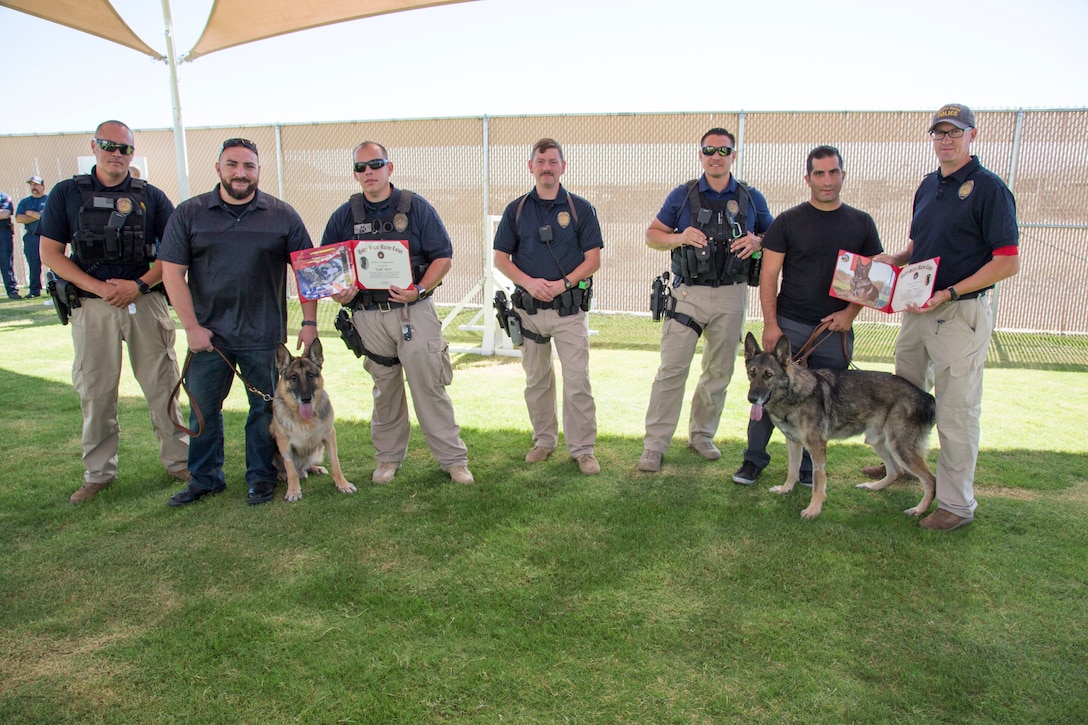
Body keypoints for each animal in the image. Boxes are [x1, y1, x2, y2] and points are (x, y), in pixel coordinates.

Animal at [272, 337, 356, 496]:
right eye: (294, 378)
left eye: (311, 375)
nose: (306, 399)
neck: (305, 420)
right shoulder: (284, 443)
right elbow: (290, 469)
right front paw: (293, 491)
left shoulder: (329, 435)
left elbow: (336, 464)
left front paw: (342, 484)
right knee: (286, 468)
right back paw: (282, 474)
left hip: (318, 450)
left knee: (305, 466)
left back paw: (314, 468)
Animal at [748, 333, 935, 520]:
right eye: (751, 373)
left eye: (768, 374)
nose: (751, 398)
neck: (792, 392)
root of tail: (925, 395)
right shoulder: (793, 443)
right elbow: (792, 470)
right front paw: (785, 489)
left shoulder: (816, 448)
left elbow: (818, 480)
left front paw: (814, 509)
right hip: (877, 442)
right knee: (896, 472)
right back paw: (872, 487)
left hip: (900, 449)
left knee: (930, 480)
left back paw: (919, 510)